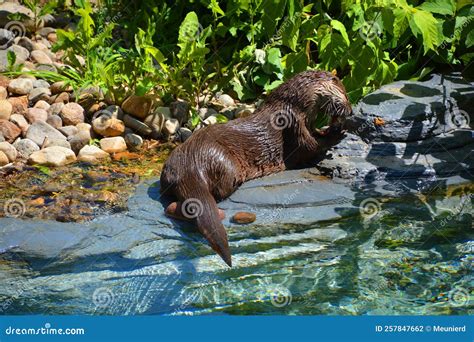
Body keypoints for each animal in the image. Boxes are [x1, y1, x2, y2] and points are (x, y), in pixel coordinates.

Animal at [159, 70, 352, 268]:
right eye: (346, 95)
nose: (350, 111)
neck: (293, 105)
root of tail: (190, 164)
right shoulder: (294, 124)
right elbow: (310, 147)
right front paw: (337, 133)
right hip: (225, 164)